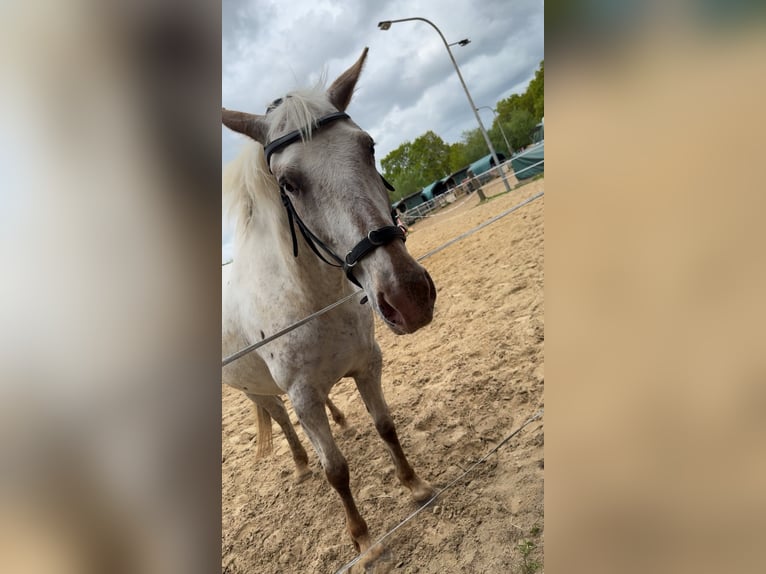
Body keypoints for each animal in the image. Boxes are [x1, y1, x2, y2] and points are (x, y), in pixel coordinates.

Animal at [221, 47, 437, 568]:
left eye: (369, 147)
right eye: (289, 182)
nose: (408, 297)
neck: (315, 301)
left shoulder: (367, 365)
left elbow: (385, 426)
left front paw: (415, 486)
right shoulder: (302, 396)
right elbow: (335, 469)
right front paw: (364, 541)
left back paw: (340, 420)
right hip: (258, 392)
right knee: (283, 421)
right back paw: (301, 464)